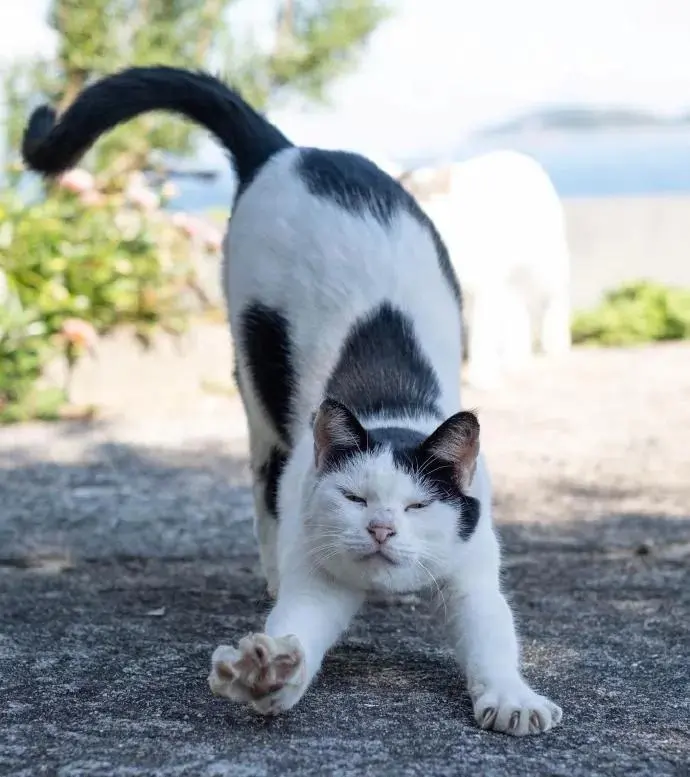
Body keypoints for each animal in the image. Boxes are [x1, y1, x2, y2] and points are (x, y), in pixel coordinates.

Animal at [398, 151, 568, 388]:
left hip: (547, 263)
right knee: (517, 313)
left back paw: (554, 346)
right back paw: (515, 360)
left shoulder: (486, 287)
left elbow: (482, 333)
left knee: (554, 299)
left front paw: (483, 377)